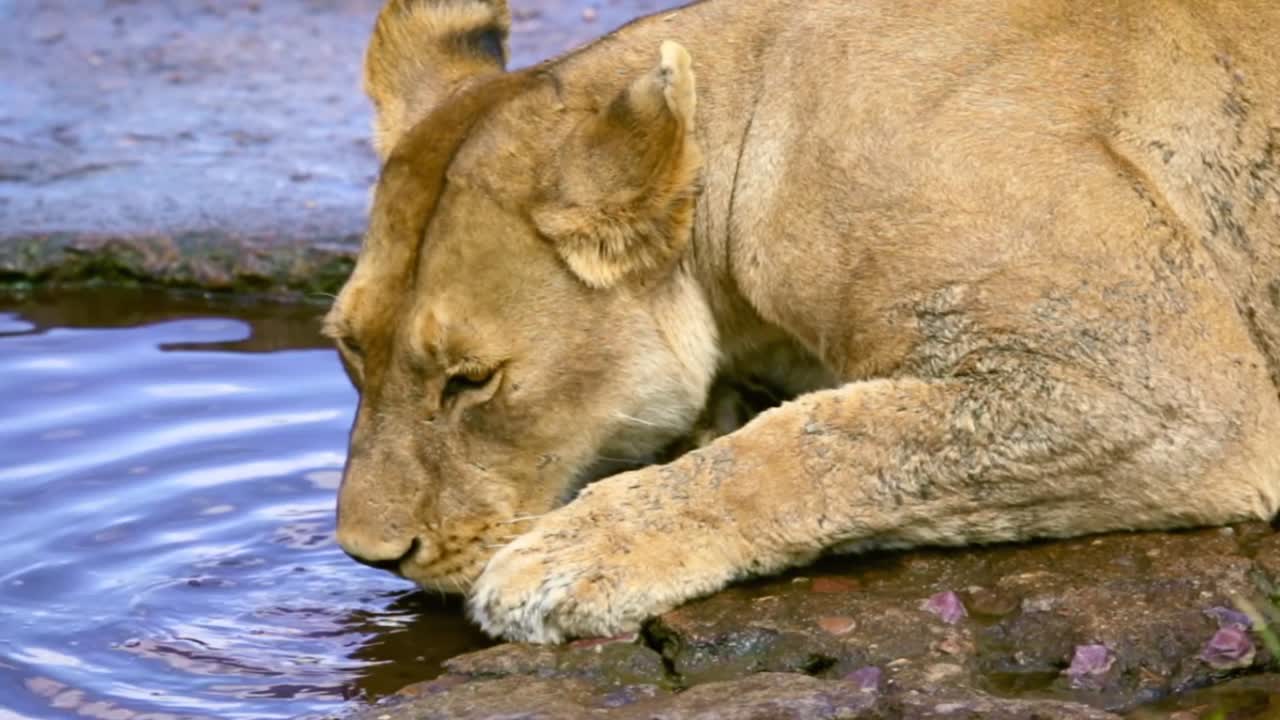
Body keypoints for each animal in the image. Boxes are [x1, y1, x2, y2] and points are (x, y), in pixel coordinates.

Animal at [326, 0, 1280, 643]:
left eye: (470, 380)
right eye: (347, 351)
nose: (368, 555)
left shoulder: (1164, 388)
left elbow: (814, 442)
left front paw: (569, 556)